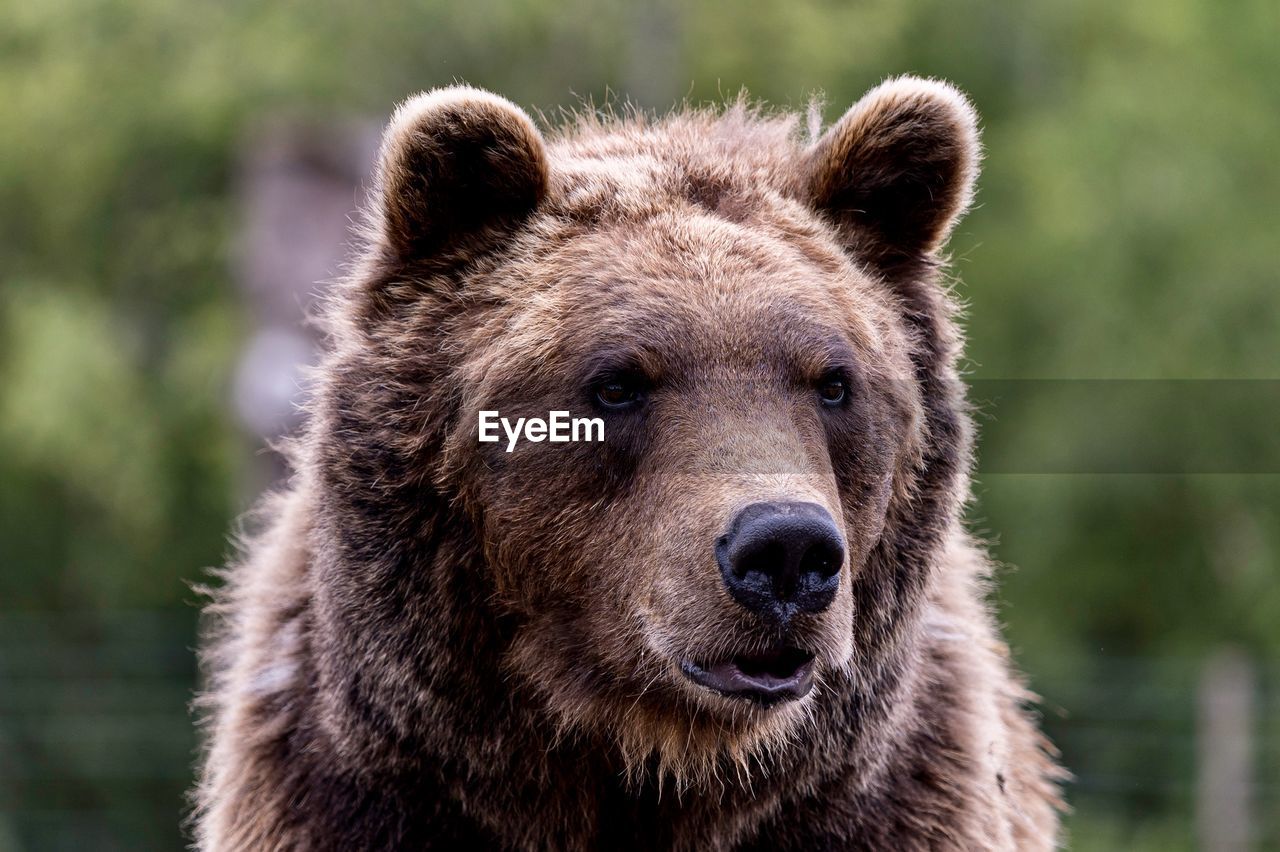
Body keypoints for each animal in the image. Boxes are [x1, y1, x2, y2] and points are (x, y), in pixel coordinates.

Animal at [194, 76, 1064, 844]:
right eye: (616, 382)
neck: (648, 752)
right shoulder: (351, 795)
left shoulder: (894, 804)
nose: (786, 551)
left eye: (834, 381)